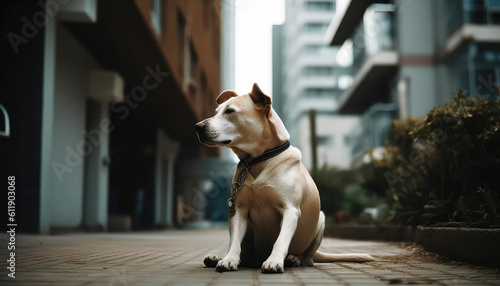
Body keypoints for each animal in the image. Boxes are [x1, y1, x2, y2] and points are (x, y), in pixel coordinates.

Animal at [193, 84, 374, 274]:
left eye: (229, 111)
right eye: (216, 111)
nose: (197, 126)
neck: (258, 161)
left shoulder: (290, 210)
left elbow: (281, 240)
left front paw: (274, 261)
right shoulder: (238, 210)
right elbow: (234, 240)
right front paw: (229, 259)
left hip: (320, 221)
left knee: (308, 258)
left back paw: (294, 258)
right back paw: (218, 257)